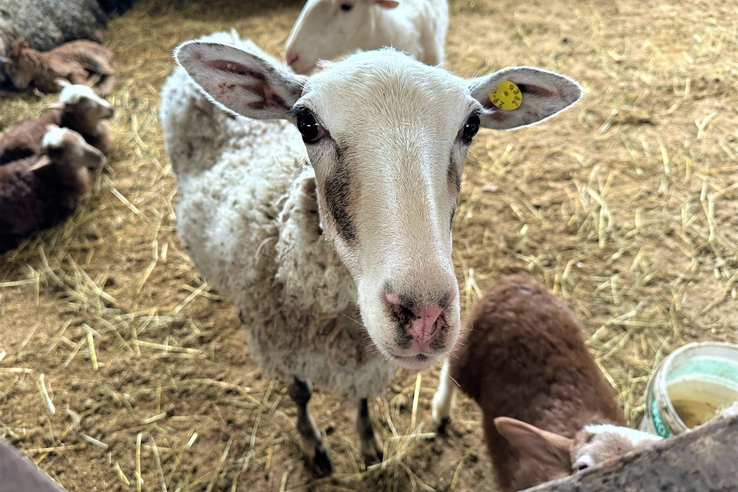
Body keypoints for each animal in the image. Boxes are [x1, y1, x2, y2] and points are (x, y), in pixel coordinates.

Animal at [160, 30, 580, 476]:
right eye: (306, 123)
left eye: (472, 125)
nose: (424, 316)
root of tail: (221, 34)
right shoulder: (283, 350)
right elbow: (300, 396)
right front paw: (313, 447)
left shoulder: (363, 364)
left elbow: (361, 404)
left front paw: (369, 448)